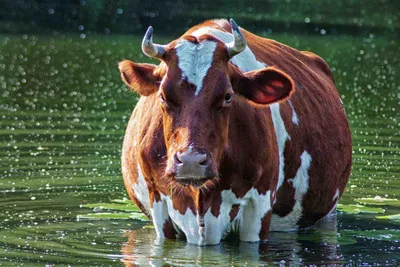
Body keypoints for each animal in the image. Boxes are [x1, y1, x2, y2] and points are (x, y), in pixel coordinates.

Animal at [117, 18, 352, 245]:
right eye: (163, 96)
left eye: (228, 96)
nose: (191, 161)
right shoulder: (159, 201)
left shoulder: (259, 205)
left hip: (328, 213)